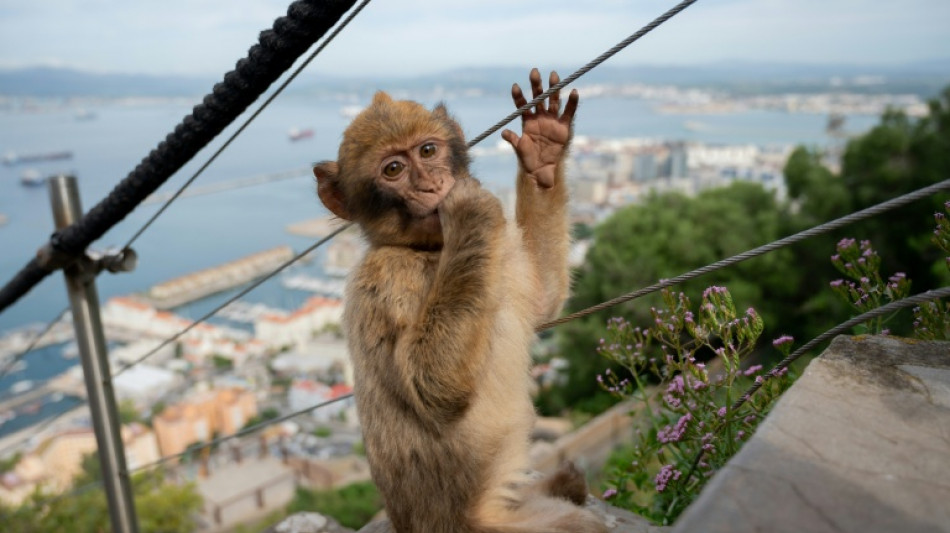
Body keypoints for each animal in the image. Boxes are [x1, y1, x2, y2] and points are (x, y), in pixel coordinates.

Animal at [313, 69, 606, 533]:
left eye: (428, 150)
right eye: (393, 169)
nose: (432, 185)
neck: (430, 250)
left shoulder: (500, 252)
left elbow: (540, 299)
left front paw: (543, 151)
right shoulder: (385, 277)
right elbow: (433, 382)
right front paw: (468, 209)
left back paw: (561, 483)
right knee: (577, 525)